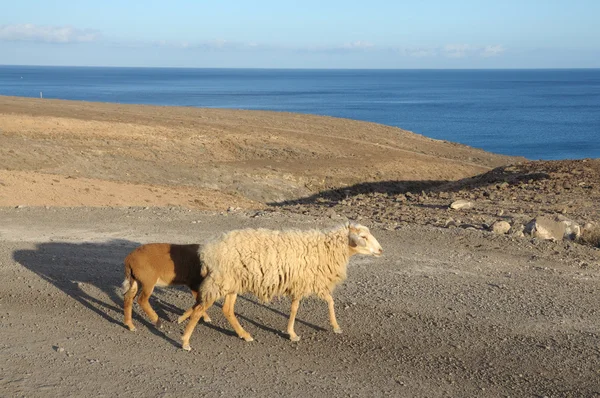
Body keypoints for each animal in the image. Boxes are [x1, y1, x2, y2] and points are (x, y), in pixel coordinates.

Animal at [180, 222, 382, 350]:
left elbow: (329, 301)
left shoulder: (309, 280)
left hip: (232, 283)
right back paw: (185, 341)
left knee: (227, 310)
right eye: (363, 237)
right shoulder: (302, 282)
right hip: (221, 281)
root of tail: (207, 250)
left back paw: (244, 334)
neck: (326, 248)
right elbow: (295, 309)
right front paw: (292, 333)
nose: (381, 250)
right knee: (199, 309)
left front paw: (335, 326)